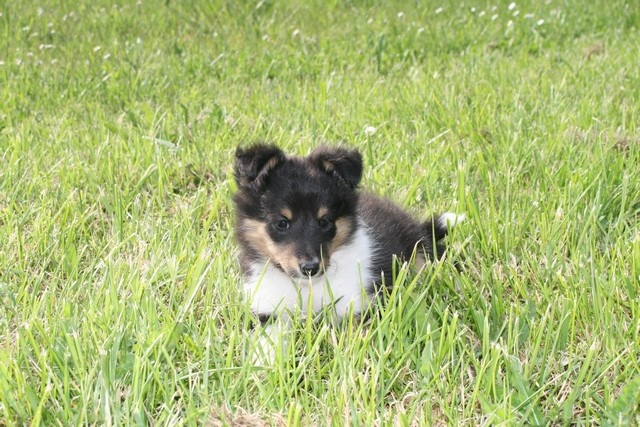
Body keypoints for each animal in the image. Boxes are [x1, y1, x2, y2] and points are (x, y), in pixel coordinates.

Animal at [233, 143, 464, 361]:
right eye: (282, 223)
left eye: (324, 221)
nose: (310, 268)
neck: (308, 288)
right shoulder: (269, 309)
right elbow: (267, 342)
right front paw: (264, 365)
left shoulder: (355, 304)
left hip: (419, 250)